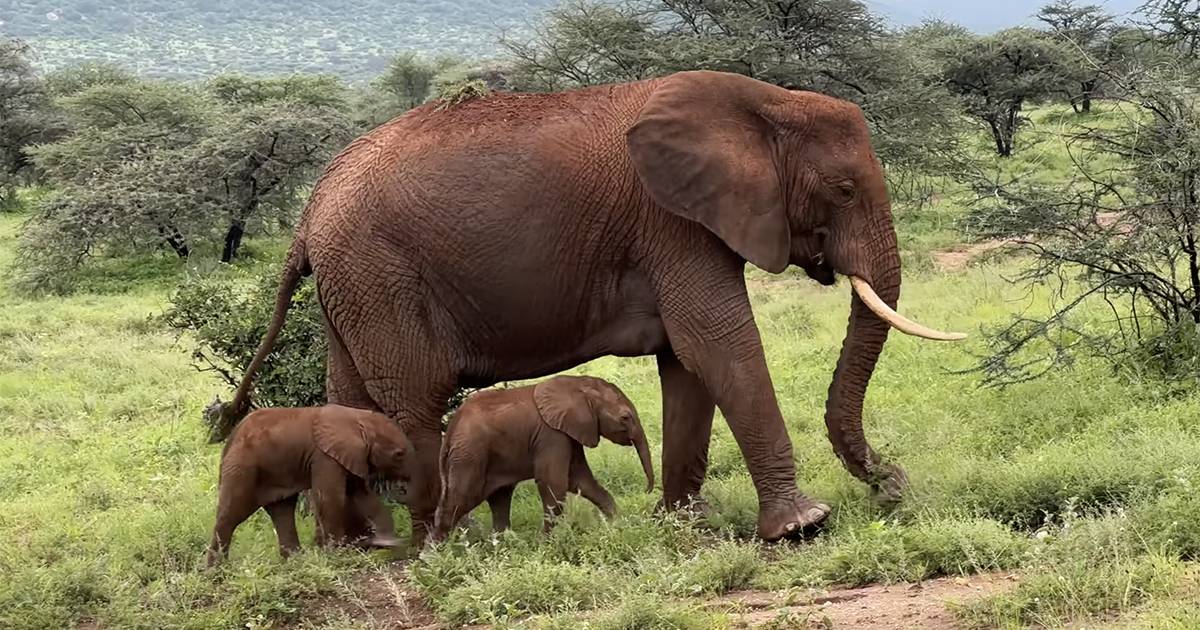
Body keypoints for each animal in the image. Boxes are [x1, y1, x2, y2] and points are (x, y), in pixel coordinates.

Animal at [206, 405, 413, 565]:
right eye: (399, 454)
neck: (357, 417)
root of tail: (231, 437)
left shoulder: (351, 456)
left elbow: (363, 495)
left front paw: (392, 543)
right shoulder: (324, 457)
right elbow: (330, 498)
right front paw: (337, 555)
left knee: (282, 511)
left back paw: (296, 562)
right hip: (243, 466)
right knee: (231, 514)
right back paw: (216, 571)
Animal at [432, 375, 655, 540]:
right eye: (625, 417)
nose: (647, 490)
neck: (578, 385)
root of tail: (450, 430)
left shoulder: (569, 433)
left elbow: (581, 481)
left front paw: (617, 524)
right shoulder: (551, 435)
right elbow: (554, 482)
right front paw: (547, 542)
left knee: (499, 498)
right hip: (470, 455)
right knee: (459, 499)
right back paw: (434, 556)